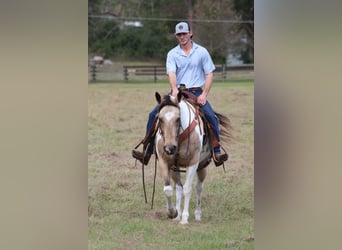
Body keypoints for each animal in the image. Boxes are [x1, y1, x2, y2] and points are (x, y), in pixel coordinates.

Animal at [154, 91, 232, 225]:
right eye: (160, 118)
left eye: (178, 119)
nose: (169, 148)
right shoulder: (164, 162)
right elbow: (168, 189)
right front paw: (173, 212)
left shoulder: (193, 163)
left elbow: (188, 189)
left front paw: (185, 218)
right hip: (175, 169)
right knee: (178, 188)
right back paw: (177, 215)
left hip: (202, 167)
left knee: (198, 188)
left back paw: (197, 214)